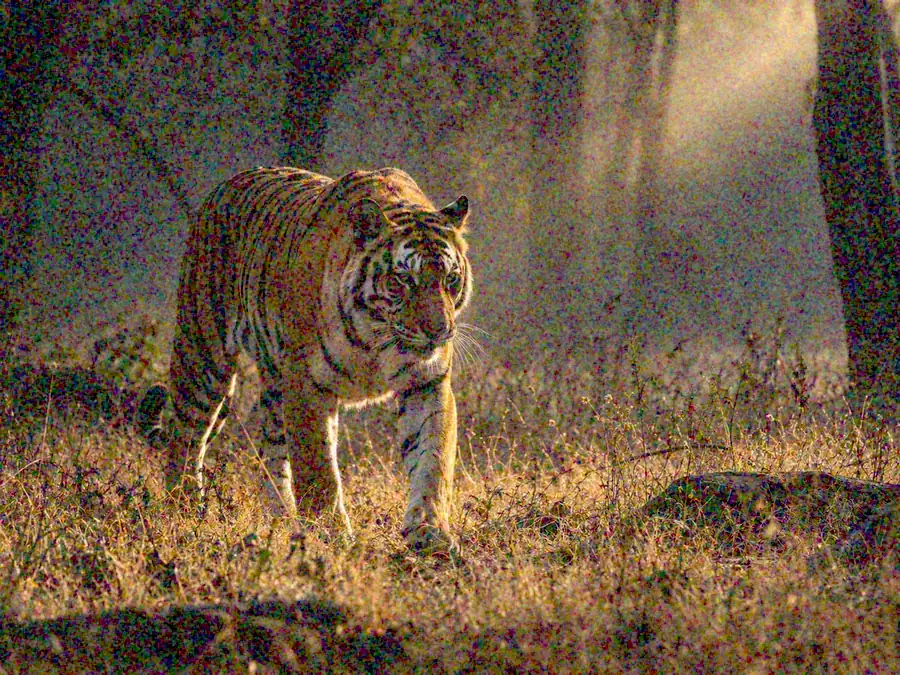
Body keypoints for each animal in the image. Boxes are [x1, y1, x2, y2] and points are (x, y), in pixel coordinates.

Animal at [137, 166, 472, 553]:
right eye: (403, 280)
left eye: (450, 279)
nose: (439, 331)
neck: (378, 340)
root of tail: (221, 188)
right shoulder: (307, 387)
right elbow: (318, 471)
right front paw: (334, 537)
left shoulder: (427, 384)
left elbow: (433, 460)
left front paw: (430, 534)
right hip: (204, 358)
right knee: (185, 438)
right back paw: (185, 511)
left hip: (273, 387)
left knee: (271, 452)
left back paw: (281, 523)